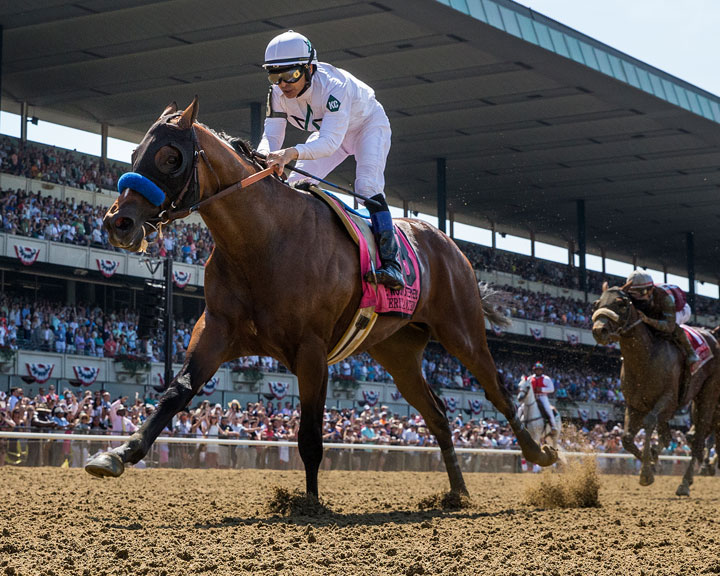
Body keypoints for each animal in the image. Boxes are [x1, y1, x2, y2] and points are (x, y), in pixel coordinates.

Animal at [86, 98, 556, 496]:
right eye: (134, 154)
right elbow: (176, 391)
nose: (118, 223)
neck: (262, 240)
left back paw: (539, 452)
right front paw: (116, 454)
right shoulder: (217, 329)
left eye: (170, 157)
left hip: (462, 331)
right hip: (398, 352)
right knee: (438, 414)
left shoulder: (312, 349)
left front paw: (310, 504)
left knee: (497, 389)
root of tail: (447, 242)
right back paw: (458, 491)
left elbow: (310, 434)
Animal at [592, 284, 720, 496]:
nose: (598, 330)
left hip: (707, 397)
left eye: (621, 303)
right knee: (677, 437)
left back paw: (685, 482)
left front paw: (646, 473)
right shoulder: (634, 405)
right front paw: (651, 461)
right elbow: (627, 438)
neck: (645, 358)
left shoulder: (667, 399)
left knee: (699, 440)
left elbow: (650, 422)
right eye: (596, 303)